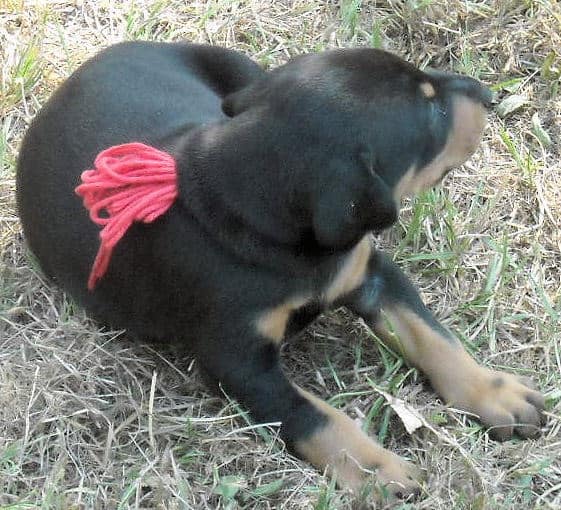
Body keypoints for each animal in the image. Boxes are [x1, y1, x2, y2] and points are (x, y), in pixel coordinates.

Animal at [16, 42, 544, 498]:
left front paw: (494, 393)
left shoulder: (369, 272)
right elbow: (313, 415)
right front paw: (377, 470)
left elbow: (433, 336)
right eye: (434, 114)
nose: (488, 93)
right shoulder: (239, 362)